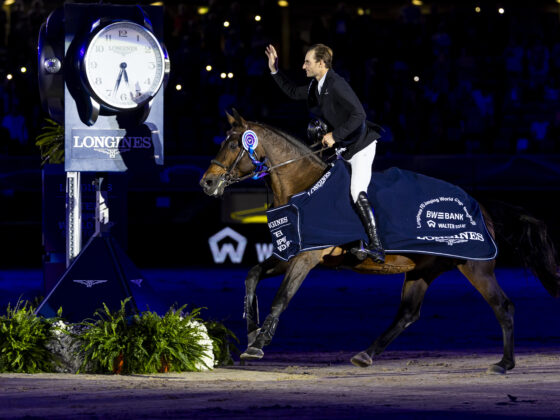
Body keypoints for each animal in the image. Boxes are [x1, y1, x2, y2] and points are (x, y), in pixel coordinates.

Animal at [199, 108, 556, 374]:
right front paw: (252, 332)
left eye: (234, 144)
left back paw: (504, 364)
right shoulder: (291, 253)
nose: (207, 183)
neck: (304, 187)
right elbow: (252, 276)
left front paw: (258, 345)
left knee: (503, 306)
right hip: (422, 270)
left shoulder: (307, 257)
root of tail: (480, 207)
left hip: (475, 267)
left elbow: (282, 297)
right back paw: (365, 355)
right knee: (408, 314)